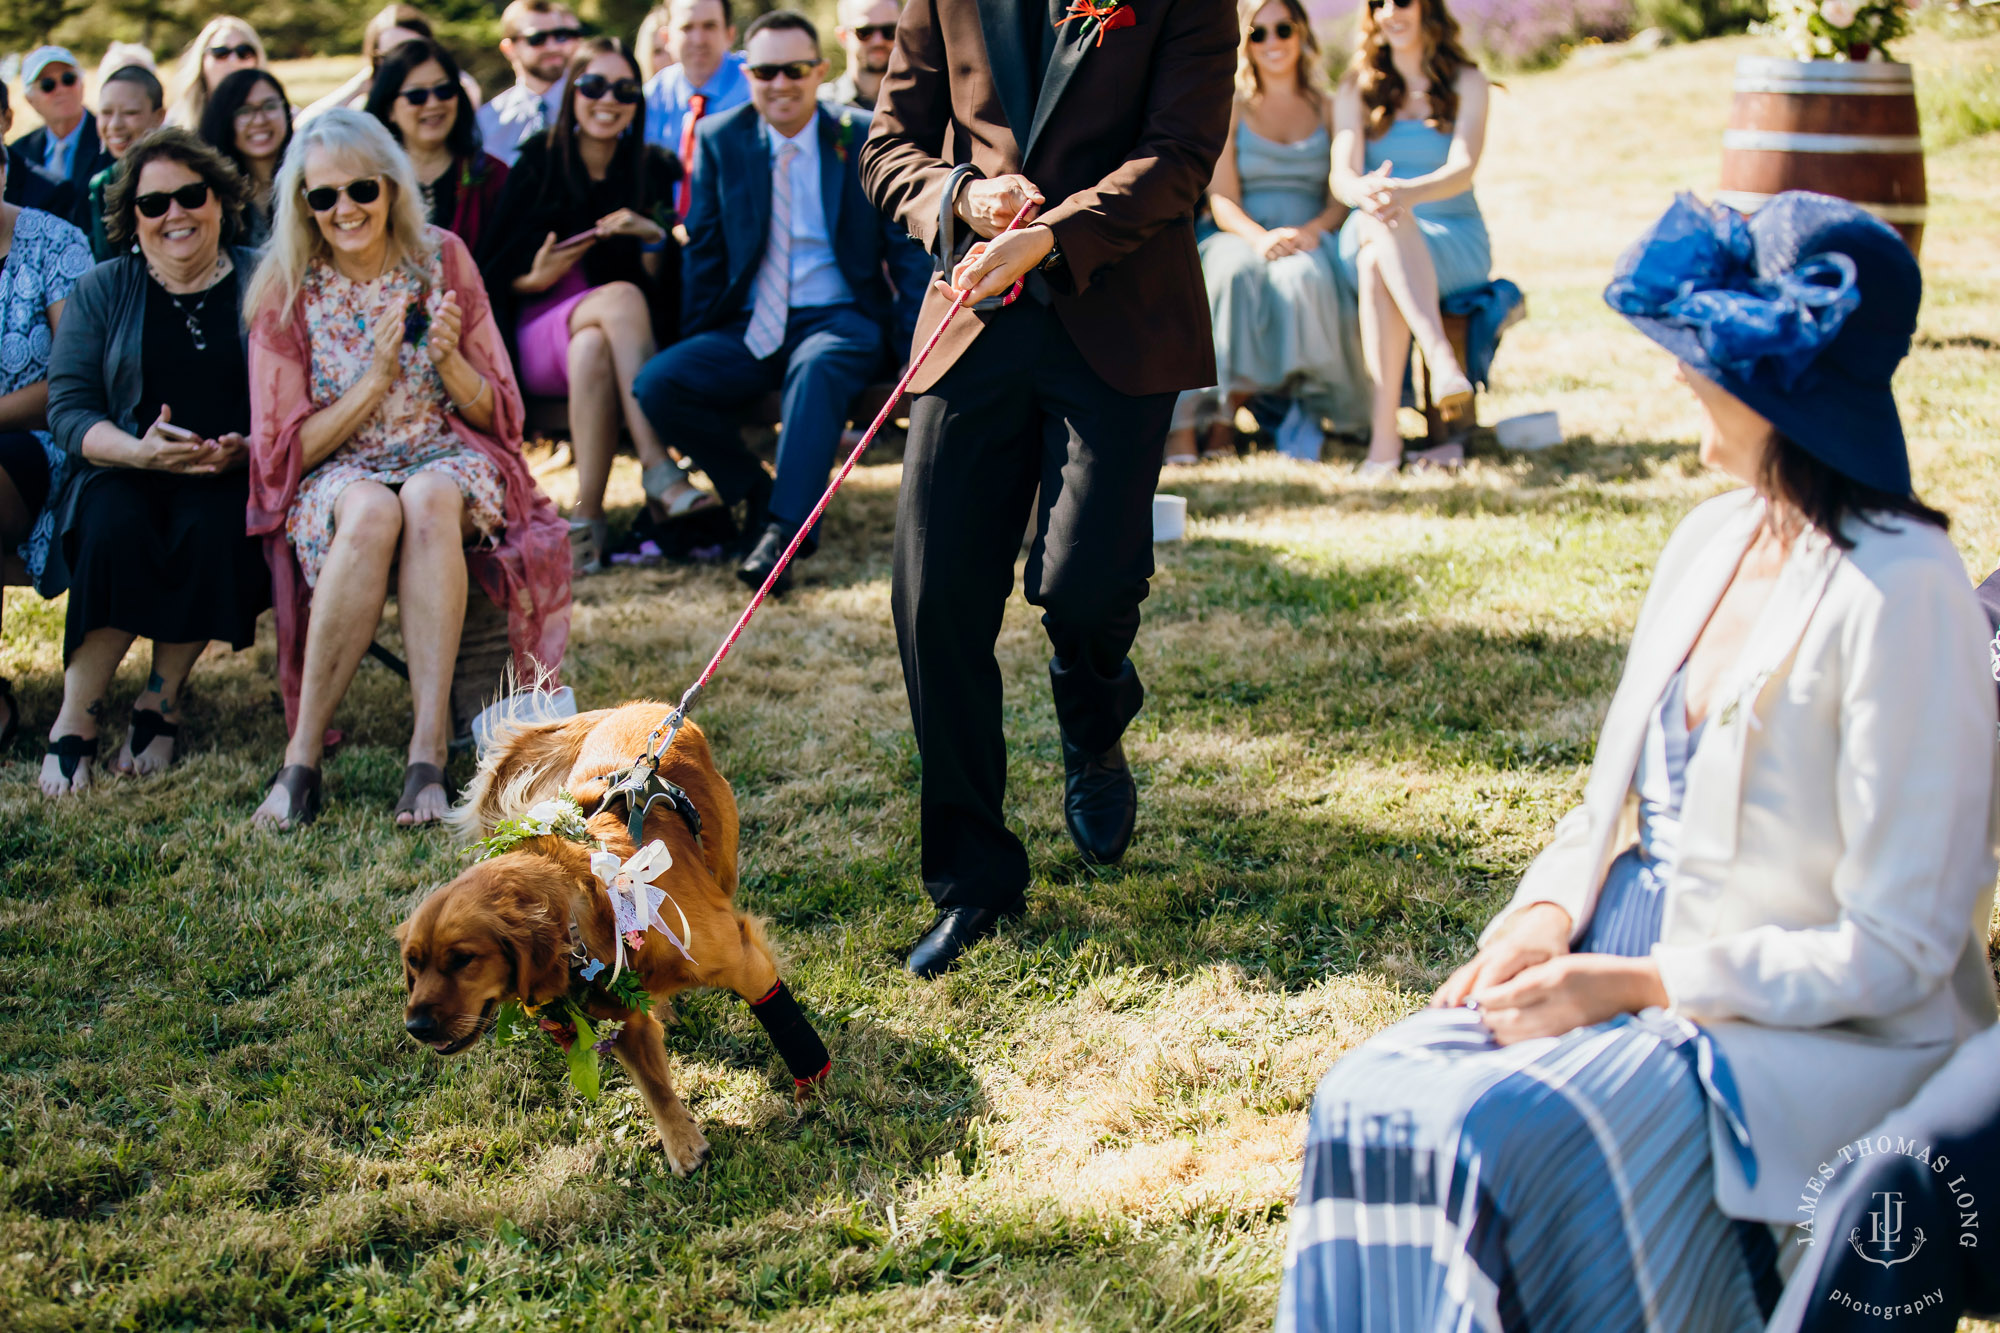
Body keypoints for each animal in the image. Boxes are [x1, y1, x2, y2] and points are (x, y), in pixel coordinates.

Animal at [394, 700, 824, 1168]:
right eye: (413, 964)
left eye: (462, 958)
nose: (416, 1027)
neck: (598, 906)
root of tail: (633, 706)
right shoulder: (622, 1017)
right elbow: (654, 1086)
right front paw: (683, 1146)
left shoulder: (743, 958)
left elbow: (786, 1024)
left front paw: (813, 1089)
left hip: (723, 862)